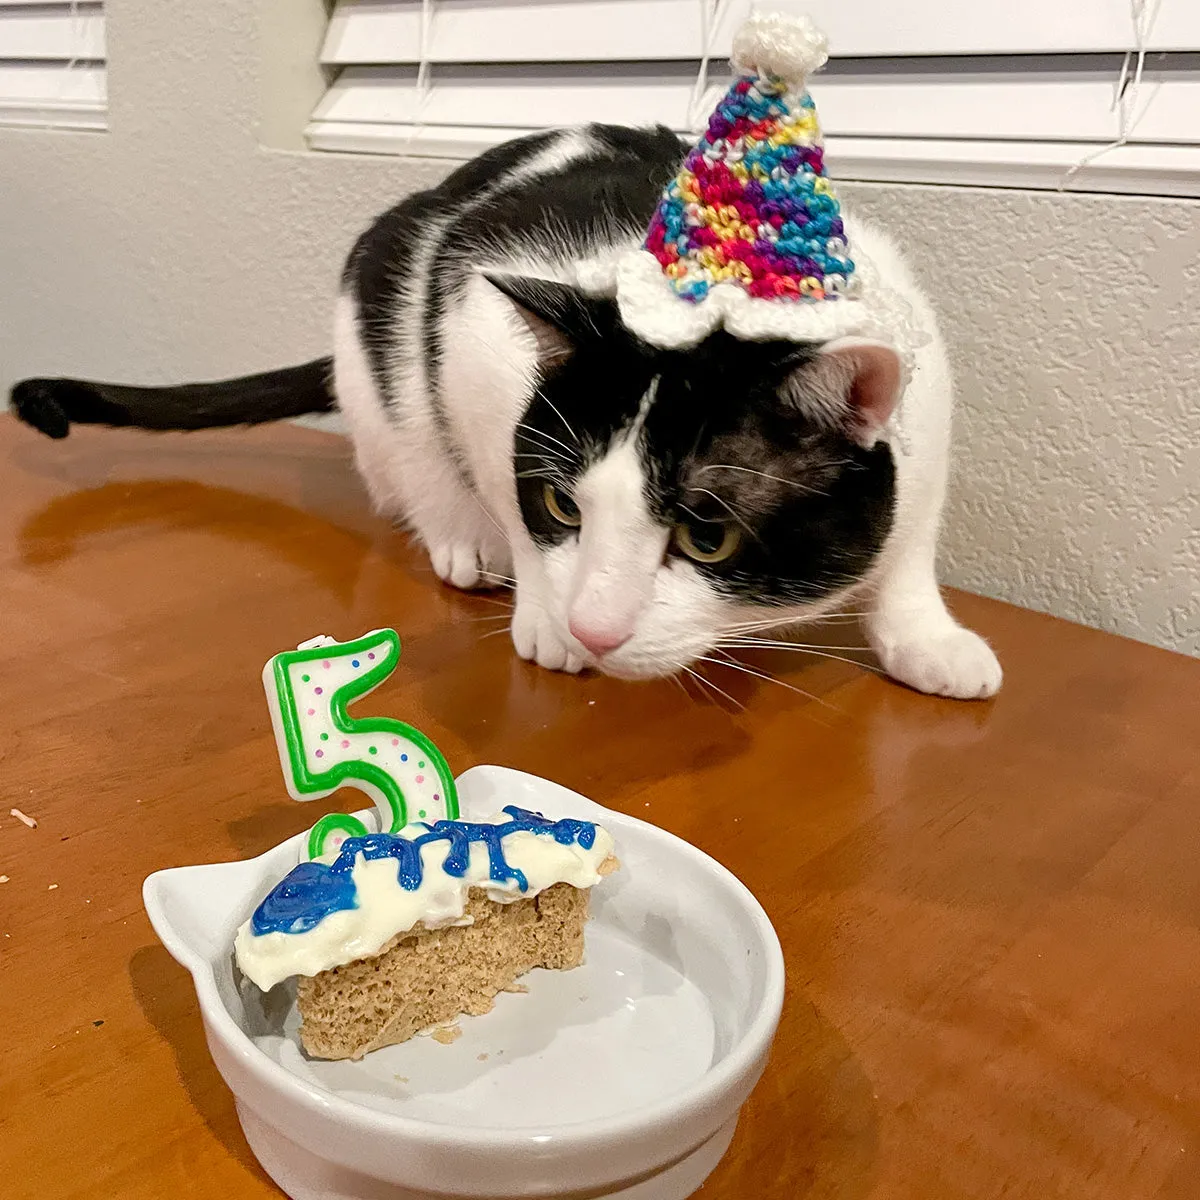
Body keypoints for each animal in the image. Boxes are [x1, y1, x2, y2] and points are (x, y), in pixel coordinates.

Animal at [11, 119, 1003, 696]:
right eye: (565, 503)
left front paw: (928, 639)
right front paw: (542, 609)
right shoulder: (473, 345)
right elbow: (505, 489)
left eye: (708, 537)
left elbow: (911, 543)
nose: (594, 629)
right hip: (380, 315)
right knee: (407, 446)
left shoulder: (932, 401)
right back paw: (459, 536)